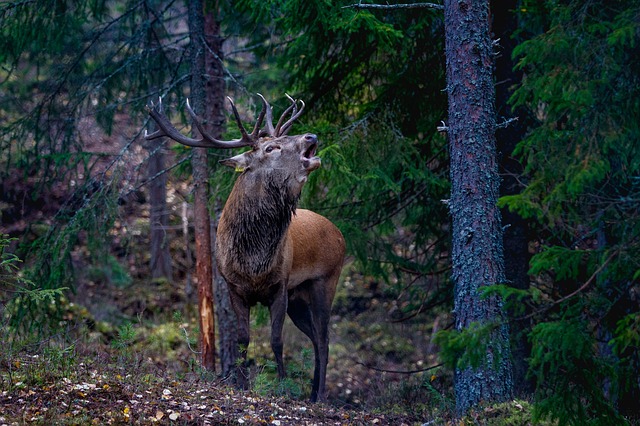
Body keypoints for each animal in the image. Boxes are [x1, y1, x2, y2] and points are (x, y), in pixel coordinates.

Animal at [145, 94, 345, 402]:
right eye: (271, 147)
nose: (311, 135)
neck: (253, 262)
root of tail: (340, 234)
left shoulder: (279, 286)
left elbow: (276, 340)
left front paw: (282, 385)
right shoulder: (234, 288)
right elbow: (242, 339)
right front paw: (240, 384)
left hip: (325, 281)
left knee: (323, 340)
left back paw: (320, 396)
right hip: (299, 297)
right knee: (314, 338)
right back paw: (312, 393)